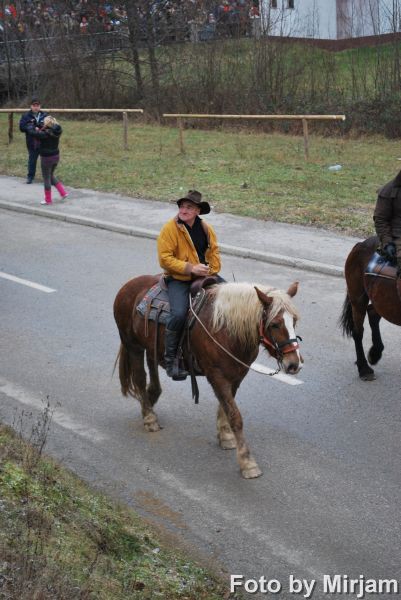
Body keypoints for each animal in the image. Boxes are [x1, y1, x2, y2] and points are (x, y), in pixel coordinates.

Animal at [112, 276, 300, 478]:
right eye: (274, 324)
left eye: (294, 321)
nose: (294, 364)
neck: (226, 329)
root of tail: (129, 285)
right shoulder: (217, 376)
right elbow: (235, 416)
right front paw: (247, 462)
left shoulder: (236, 375)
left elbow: (226, 407)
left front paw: (225, 436)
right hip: (133, 345)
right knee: (139, 378)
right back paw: (149, 417)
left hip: (151, 346)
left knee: (152, 370)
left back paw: (149, 401)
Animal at [340, 236, 400, 380]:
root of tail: (360, 244)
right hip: (358, 299)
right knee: (357, 332)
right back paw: (364, 368)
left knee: (372, 312)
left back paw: (375, 353)